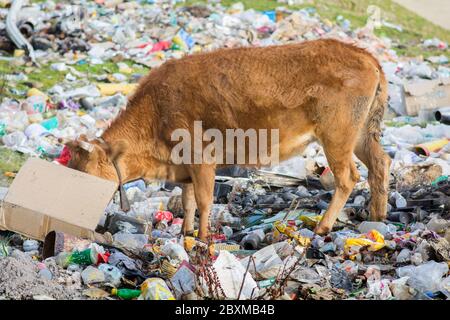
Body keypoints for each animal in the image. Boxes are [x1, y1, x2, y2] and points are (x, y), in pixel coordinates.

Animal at [66, 38, 390, 240]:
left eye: (82, 171)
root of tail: (364, 55)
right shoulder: (184, 167)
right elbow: (187, 201)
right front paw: (185, 232)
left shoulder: (201, 158)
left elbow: (204, 200)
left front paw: (202, 237)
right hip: (361, 134)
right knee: (380, 163)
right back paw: (378, 216)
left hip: (337, 136)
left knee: (348, 177)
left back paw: (323, 227)